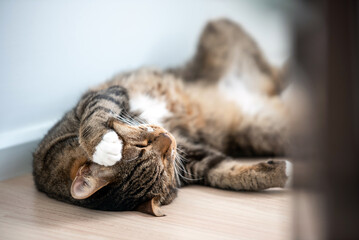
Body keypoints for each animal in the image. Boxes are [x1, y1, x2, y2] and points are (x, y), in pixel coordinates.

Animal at [33, 18, 292, 217]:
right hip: (262, 132)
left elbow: (97, 115)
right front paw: (286, 173)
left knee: (276, 73)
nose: (168, 137)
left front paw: (103, 145)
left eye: (141, 145)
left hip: (219, 27)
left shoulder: (104, 95)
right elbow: (225, 171)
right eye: (166, 161)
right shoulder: (192, 160)